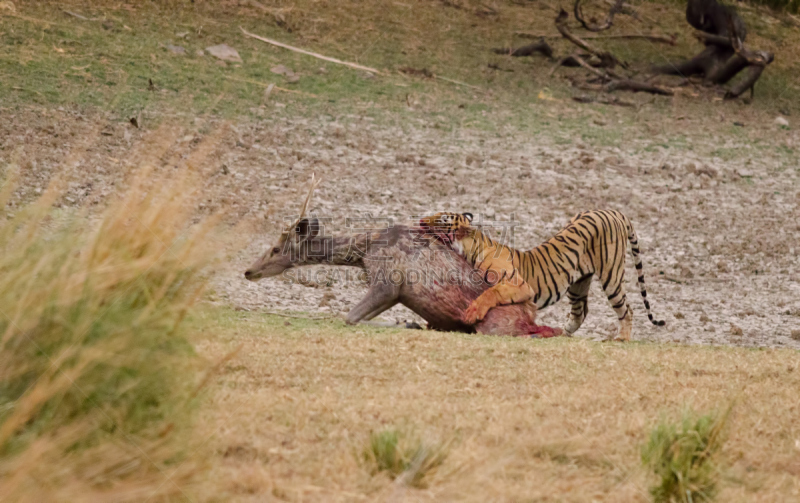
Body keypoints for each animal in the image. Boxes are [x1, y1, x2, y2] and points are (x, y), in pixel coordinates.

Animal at [244, 177, 564, 338]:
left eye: (276, 248)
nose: (249, 271)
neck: (364, 251)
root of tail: (531, 317)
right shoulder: (397, 293)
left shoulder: (388, 281)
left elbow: (349, 318)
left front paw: (407, 324)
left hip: (496, 325)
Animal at [422, 209, 664, 342]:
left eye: (441, 219)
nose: (421, 221)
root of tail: (614, 211)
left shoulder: (520, 285)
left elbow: (491, 292)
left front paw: (473, 312)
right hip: (577, 284)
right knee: (580, 312)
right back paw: (562, 334)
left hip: (610, 274)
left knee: (626, 308)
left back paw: (622, 338)